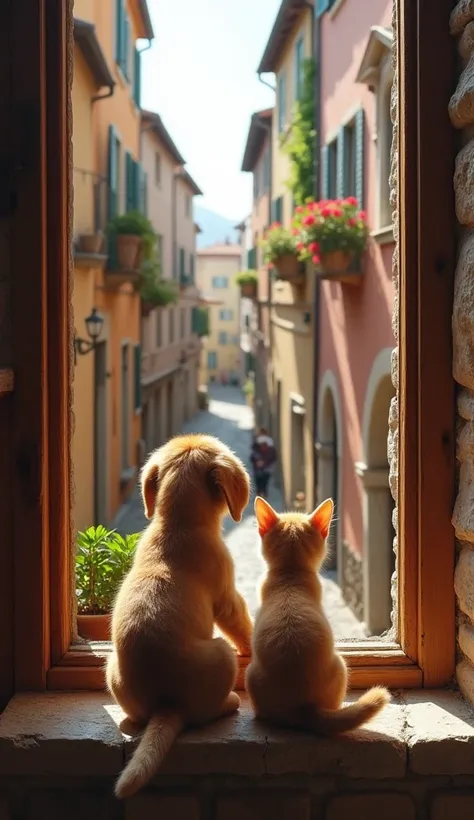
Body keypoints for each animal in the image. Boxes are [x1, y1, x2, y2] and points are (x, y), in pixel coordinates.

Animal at [108, 438, 254, 796]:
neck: (176, 522)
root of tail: (168, 704)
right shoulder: (227, 598)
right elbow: (242, 625)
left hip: (110, 668)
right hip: (222, 654)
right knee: (207, 711)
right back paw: (230, 701)